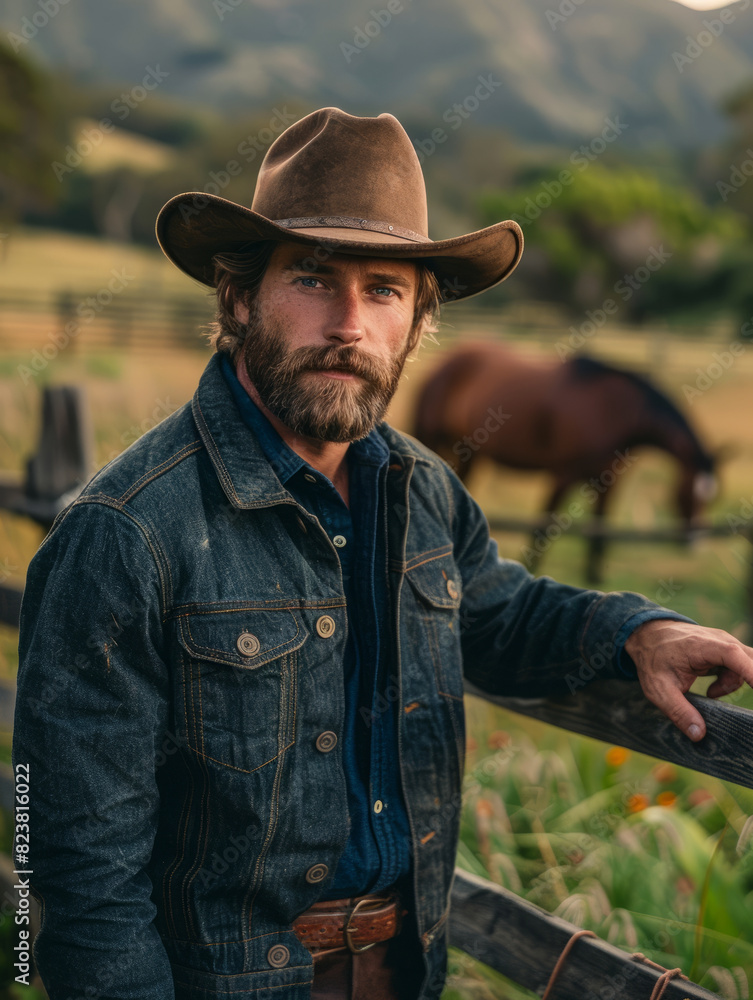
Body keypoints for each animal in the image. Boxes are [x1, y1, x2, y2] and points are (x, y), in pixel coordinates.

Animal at [414, 348, 712, 584]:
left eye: (711, 499)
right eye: (688, 494)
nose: (695, 544)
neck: (613, 410)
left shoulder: (608, 481)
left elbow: (600, 526)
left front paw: (594, 576)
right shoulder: (562, 475)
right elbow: (545, 524)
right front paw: (532, 565)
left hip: (470, 454)